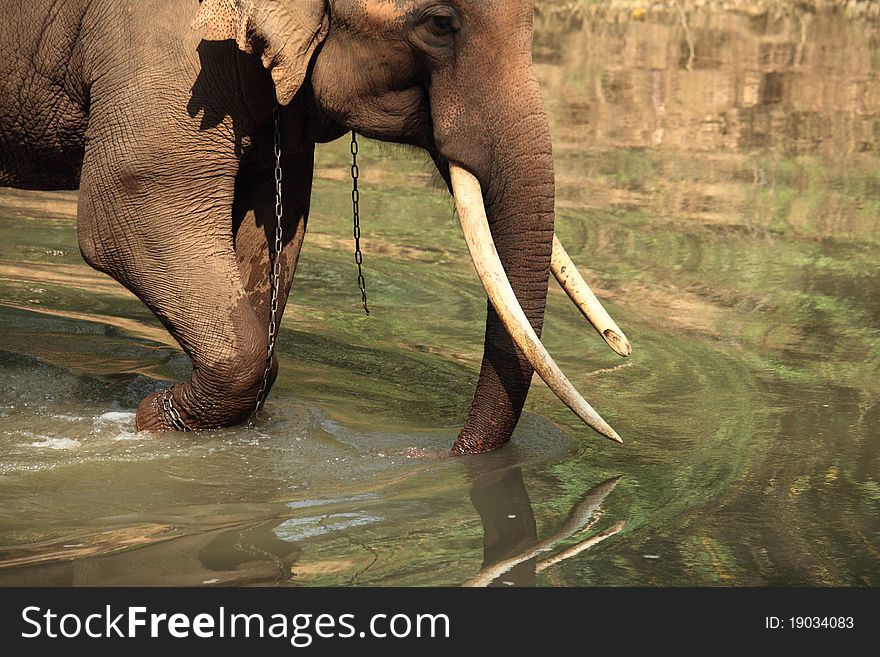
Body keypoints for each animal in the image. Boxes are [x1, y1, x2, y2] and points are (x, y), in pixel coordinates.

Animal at [0, 0, 632, 452]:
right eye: (440, 24)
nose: (441, 452)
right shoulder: (159, 46)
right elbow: (124, 209)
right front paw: (151, 418)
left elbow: (267, 234)